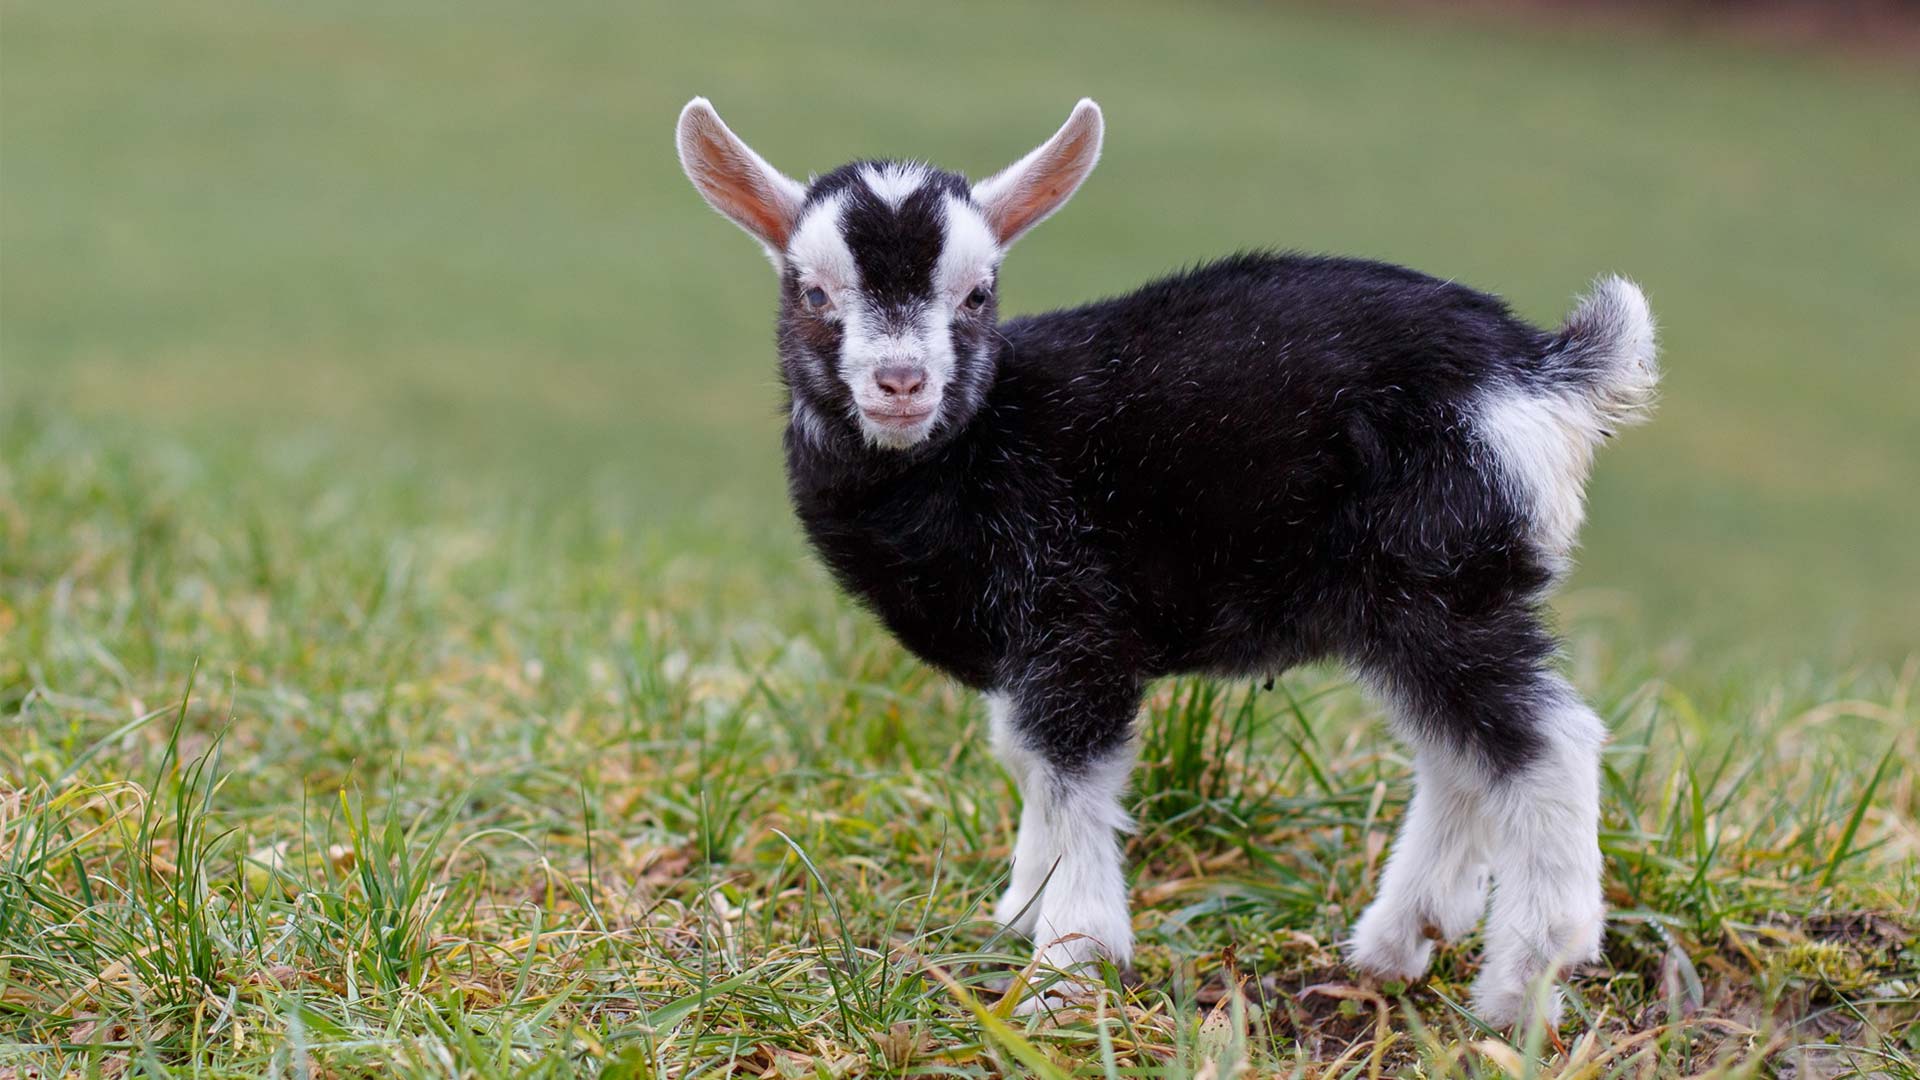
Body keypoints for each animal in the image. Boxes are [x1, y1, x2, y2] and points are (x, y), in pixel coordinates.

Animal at [675, 96, 1651, 1022]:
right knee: (1459, 756)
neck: (982, 444)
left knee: (1546, 744)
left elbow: (1067, 771)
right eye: (812, 291)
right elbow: (1023, 758)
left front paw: (1066, 967)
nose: (902, 382)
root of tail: (1543, 373)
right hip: (1405, 603)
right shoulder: (1028, 652)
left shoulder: (1074, 618)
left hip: (1441, 576)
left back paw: (1524, 981)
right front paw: (1021, 909)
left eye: (979, 294)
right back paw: (1400, 941)